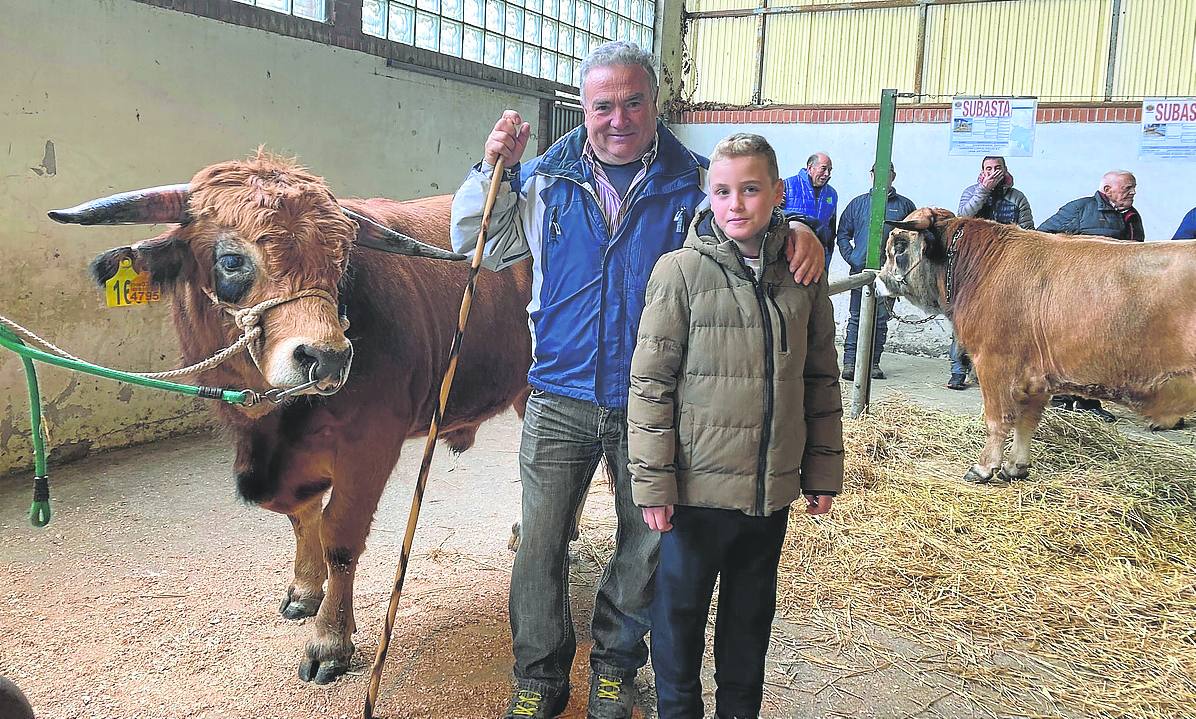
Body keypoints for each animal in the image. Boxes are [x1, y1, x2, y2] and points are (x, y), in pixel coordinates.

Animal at [47, 150, 533, 679]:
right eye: (231, 260)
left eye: (340, 262)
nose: (328, 358)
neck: (274, 423)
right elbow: (303, 519)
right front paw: (304, 591)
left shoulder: (370, 446)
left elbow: (339, 537)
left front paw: (330, 640)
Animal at [880, 206, 1196, 485]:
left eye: (899, 245)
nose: (879, 278)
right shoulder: (1037, 377)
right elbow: (1027, 421)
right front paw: (1015, 467)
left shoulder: (993, 362)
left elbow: (998, 419)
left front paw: (983, 468)